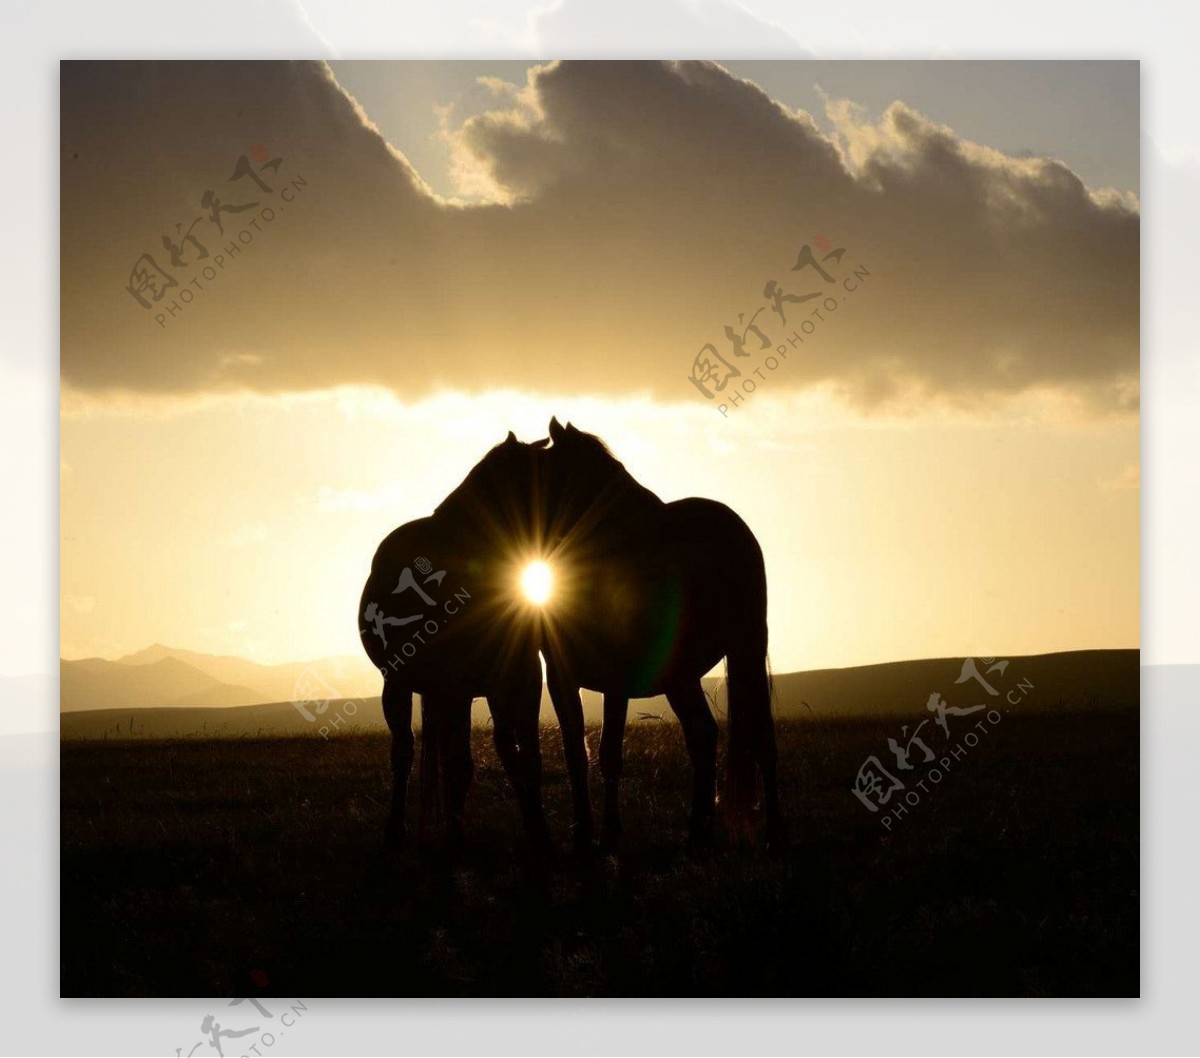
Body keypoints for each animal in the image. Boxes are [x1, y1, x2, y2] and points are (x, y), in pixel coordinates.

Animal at [352, 429, 547, 849]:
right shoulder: (454, 686)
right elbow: (458, 762)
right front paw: (455, 835)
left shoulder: (520, 678)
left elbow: (524, 755)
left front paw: (539, 829)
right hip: (403, 686)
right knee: (406, 753)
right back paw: (398, 829)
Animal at [535, 417, 777, 844]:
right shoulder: (562, 677)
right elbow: (574, 753)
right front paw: (583, 833)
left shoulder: (617, 679)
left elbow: (609, 754)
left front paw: (610, 833)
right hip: (680, 676)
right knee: (703, 735)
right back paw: (697, 832)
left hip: (745, 649)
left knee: (761, 738)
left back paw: (774, 835)